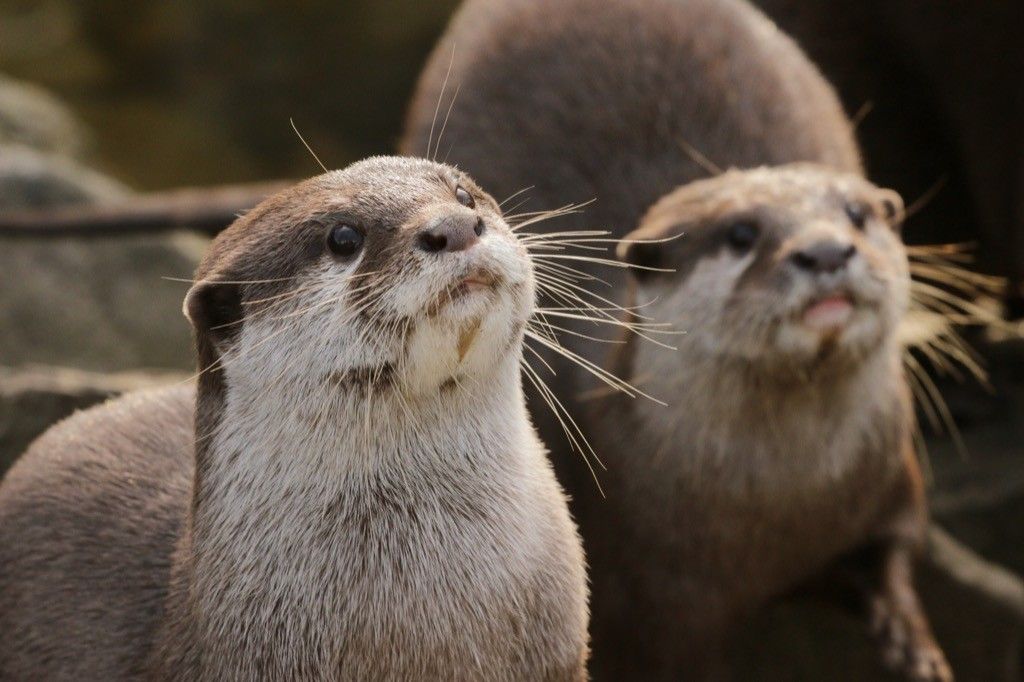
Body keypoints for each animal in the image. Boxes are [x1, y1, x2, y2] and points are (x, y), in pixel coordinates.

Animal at [399, 0, 950, 675]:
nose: (825, 251)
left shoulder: (892, 474)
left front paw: (911, 641)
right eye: (741, 235)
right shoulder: (646, 599)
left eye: (857, 214)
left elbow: (899, 546)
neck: (781, 512)